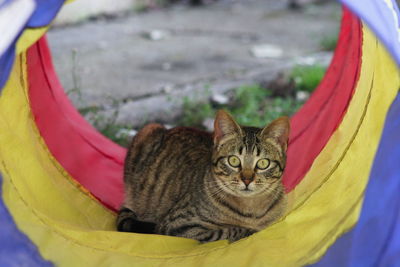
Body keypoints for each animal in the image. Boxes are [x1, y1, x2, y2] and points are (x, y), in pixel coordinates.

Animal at [117, 110, 290, 244]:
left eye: (263, 163)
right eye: (233, 160)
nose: (247, 180)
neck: (251, 210)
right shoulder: (179, 225)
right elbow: (227, 231)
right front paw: (247, 231)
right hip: (147, 130)